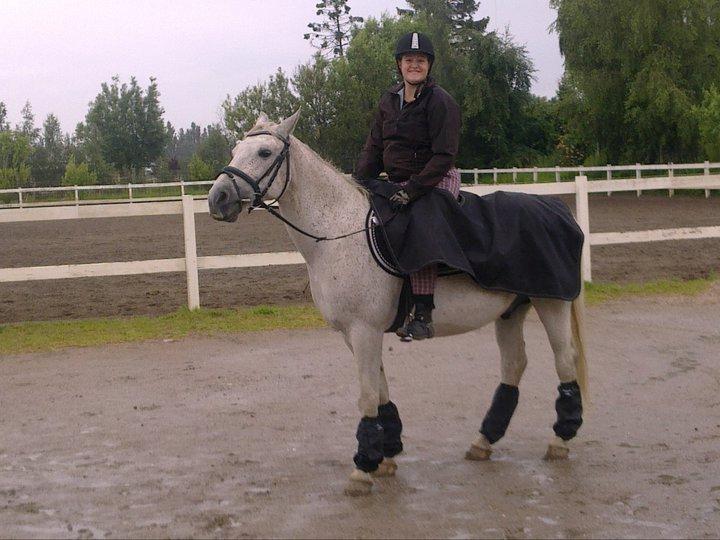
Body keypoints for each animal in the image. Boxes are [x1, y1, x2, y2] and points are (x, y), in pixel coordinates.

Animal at [207, 111, 588, 496]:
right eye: (236, 150)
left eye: (265, 152)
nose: (217, 198)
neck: (337, 232)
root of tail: (556, 207)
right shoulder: (356, 334)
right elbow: (380, 390)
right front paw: (385, 456)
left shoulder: (364, 330)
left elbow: (366, 394)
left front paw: (362, 469)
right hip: (511, 310)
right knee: (514, 364)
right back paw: (484, 441)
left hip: (551, 304)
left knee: (564, 361)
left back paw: (560, 440)